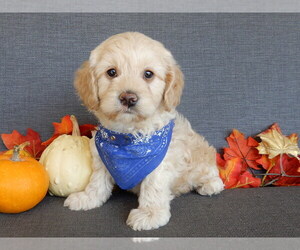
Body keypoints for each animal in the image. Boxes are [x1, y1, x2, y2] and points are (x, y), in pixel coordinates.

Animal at [65, 31, 225, 230]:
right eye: (111, 72)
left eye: (148, 74)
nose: (128, 98)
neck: (128, 136)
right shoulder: (102, 156)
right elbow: (98, 180)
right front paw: (88, 198)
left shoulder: (161, 161)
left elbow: (153, 186)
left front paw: (150, 214)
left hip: (203, 160)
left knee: (211, 173)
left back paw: (210, 185)